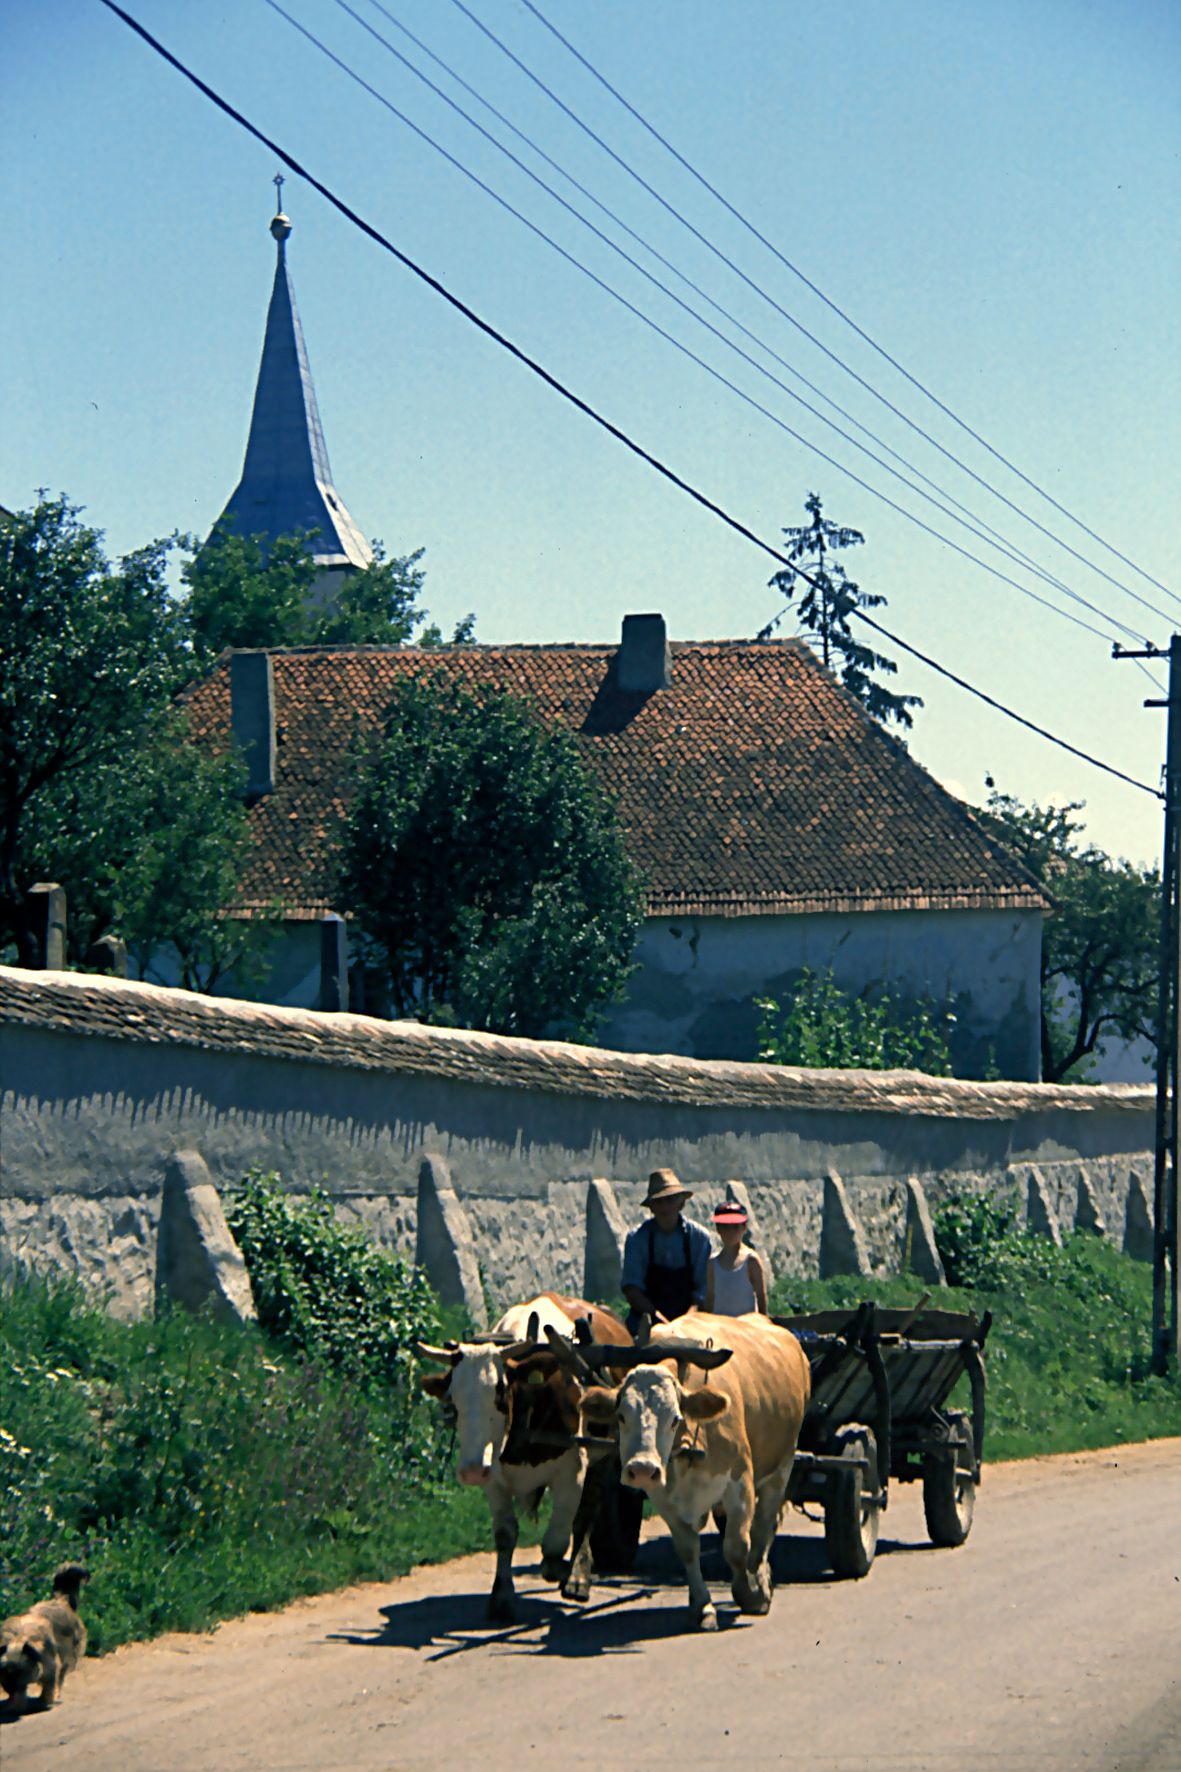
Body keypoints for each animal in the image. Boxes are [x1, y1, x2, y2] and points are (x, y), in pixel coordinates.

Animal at [0, 1559, 89, 1708]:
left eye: (20, 1672)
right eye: (5, 1673)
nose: (10, 1688)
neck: (19, 1639)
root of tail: (61, 1601)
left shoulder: (50, 1665)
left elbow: (49, 1684)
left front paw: (45, 1700)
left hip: (68, 1653)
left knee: (62, 1672)